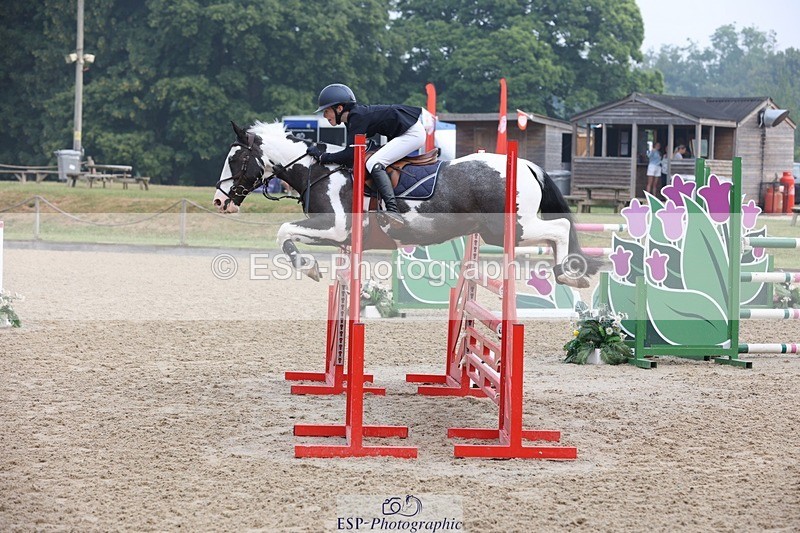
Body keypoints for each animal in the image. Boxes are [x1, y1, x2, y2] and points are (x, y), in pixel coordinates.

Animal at [213, 121, 601, 288]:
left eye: (235, 159)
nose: (219, 201)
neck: (319, 171)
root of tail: (528, 165)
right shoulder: (339, 237)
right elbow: (288, 234)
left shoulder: (335, 227)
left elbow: (283, 232)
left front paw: (307, 267)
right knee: (555, 234)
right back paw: (572, 271)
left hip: (508, 228)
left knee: (559, 228)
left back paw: (569, 273)